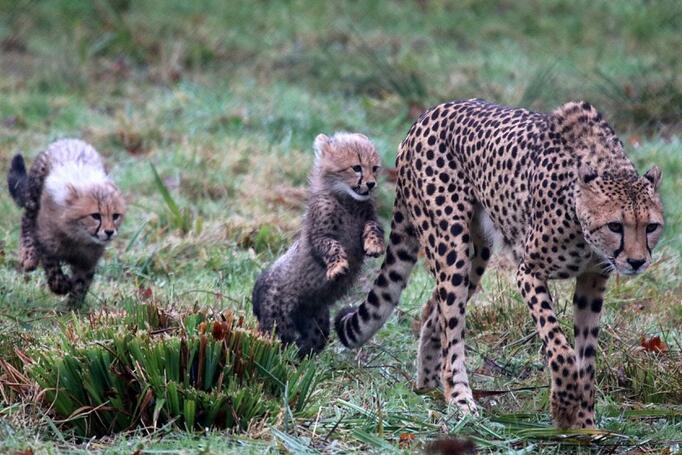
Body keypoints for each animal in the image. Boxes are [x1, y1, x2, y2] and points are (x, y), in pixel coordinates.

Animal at [332, 98, 660, 430]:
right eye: (615, 226)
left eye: (651, 227)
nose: (636, 262)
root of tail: (428, 115)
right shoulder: (529, 272)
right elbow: (560, 346)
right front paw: (564, 405)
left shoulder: (593, 280)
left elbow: (587, 357)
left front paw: (585, 424)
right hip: (452, 245)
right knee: (451, 328)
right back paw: (460, 400)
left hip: (476, 253)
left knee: (434, 312)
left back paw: (427, 385)